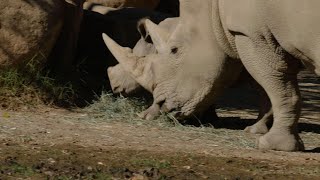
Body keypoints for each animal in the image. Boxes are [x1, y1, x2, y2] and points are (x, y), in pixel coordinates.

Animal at [102, 0, 320, 152]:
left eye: (175, 50)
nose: (113, 85)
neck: (211, 14)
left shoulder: (252, 34)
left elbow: (278, 88)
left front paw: (272, 144)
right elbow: (268, 89)